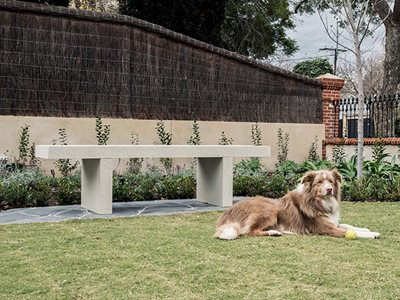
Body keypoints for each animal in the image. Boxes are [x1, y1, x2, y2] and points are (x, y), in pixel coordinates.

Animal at [214, 170, 380, 240]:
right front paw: (371, 234)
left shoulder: (332, 222)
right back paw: (273, 232)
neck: (318, 202)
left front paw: (367, 229)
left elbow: (348, 225)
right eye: (319, 182)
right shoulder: (325, 229)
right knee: (249, 231)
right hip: (269, 209)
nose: (329, 189)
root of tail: (227, 213)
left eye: (331, 181)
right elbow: (350, 232)